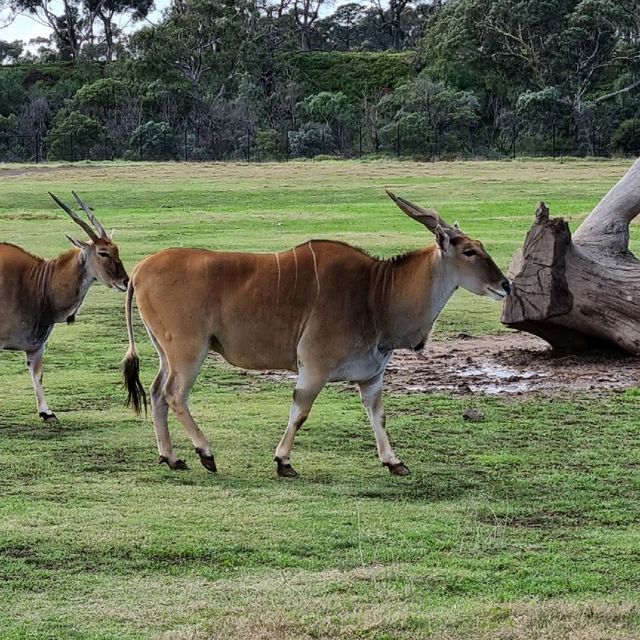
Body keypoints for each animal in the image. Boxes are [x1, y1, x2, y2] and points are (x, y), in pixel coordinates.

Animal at [0, 192, 129, 422]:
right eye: (103, 253)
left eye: (116, 250)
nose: (126, 281)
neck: (37, 283)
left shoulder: (37, 346)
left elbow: (37, 373)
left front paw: (46, 412)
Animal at [124, 192, 510, 478]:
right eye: (469, 251)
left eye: (482, 245)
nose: (505, 284)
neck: (376, 293)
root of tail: (140, 269)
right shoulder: (314, 366)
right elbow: (301, 411)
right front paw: (283, 462)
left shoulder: (371, 376)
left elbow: (378, 416)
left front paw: (394, 462)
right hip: (190, 351)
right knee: (174, 394)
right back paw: (205, 453)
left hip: (167, 353)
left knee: (157, 392)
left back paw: (171, 458)